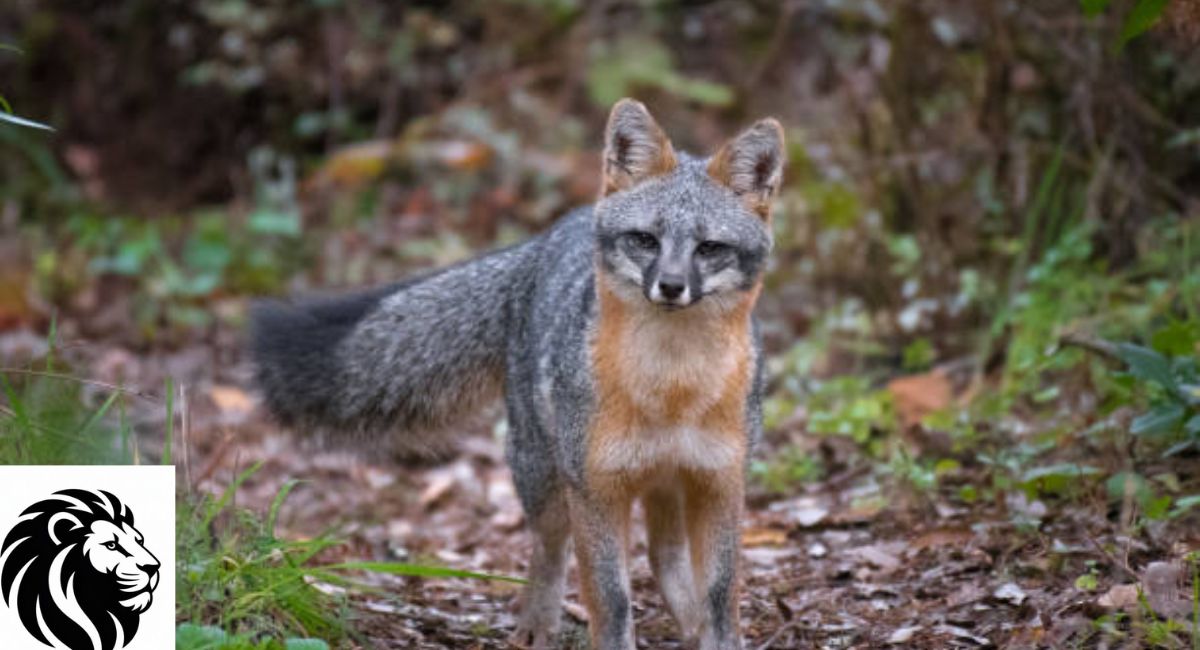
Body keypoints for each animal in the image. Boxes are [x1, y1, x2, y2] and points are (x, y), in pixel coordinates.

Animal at [250, 98, 784, 650]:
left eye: (709, 248)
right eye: (645, 240)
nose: (672, 286)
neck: (672, 391)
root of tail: (550, 235)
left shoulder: (720, 484)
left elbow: (720, 595)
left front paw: (717, 636)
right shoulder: (595, 489)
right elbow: (611, 600)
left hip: (665, 483)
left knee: (663, 555)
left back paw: (689, 626)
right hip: (544, 477)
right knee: (551, 551)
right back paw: (537, 626)